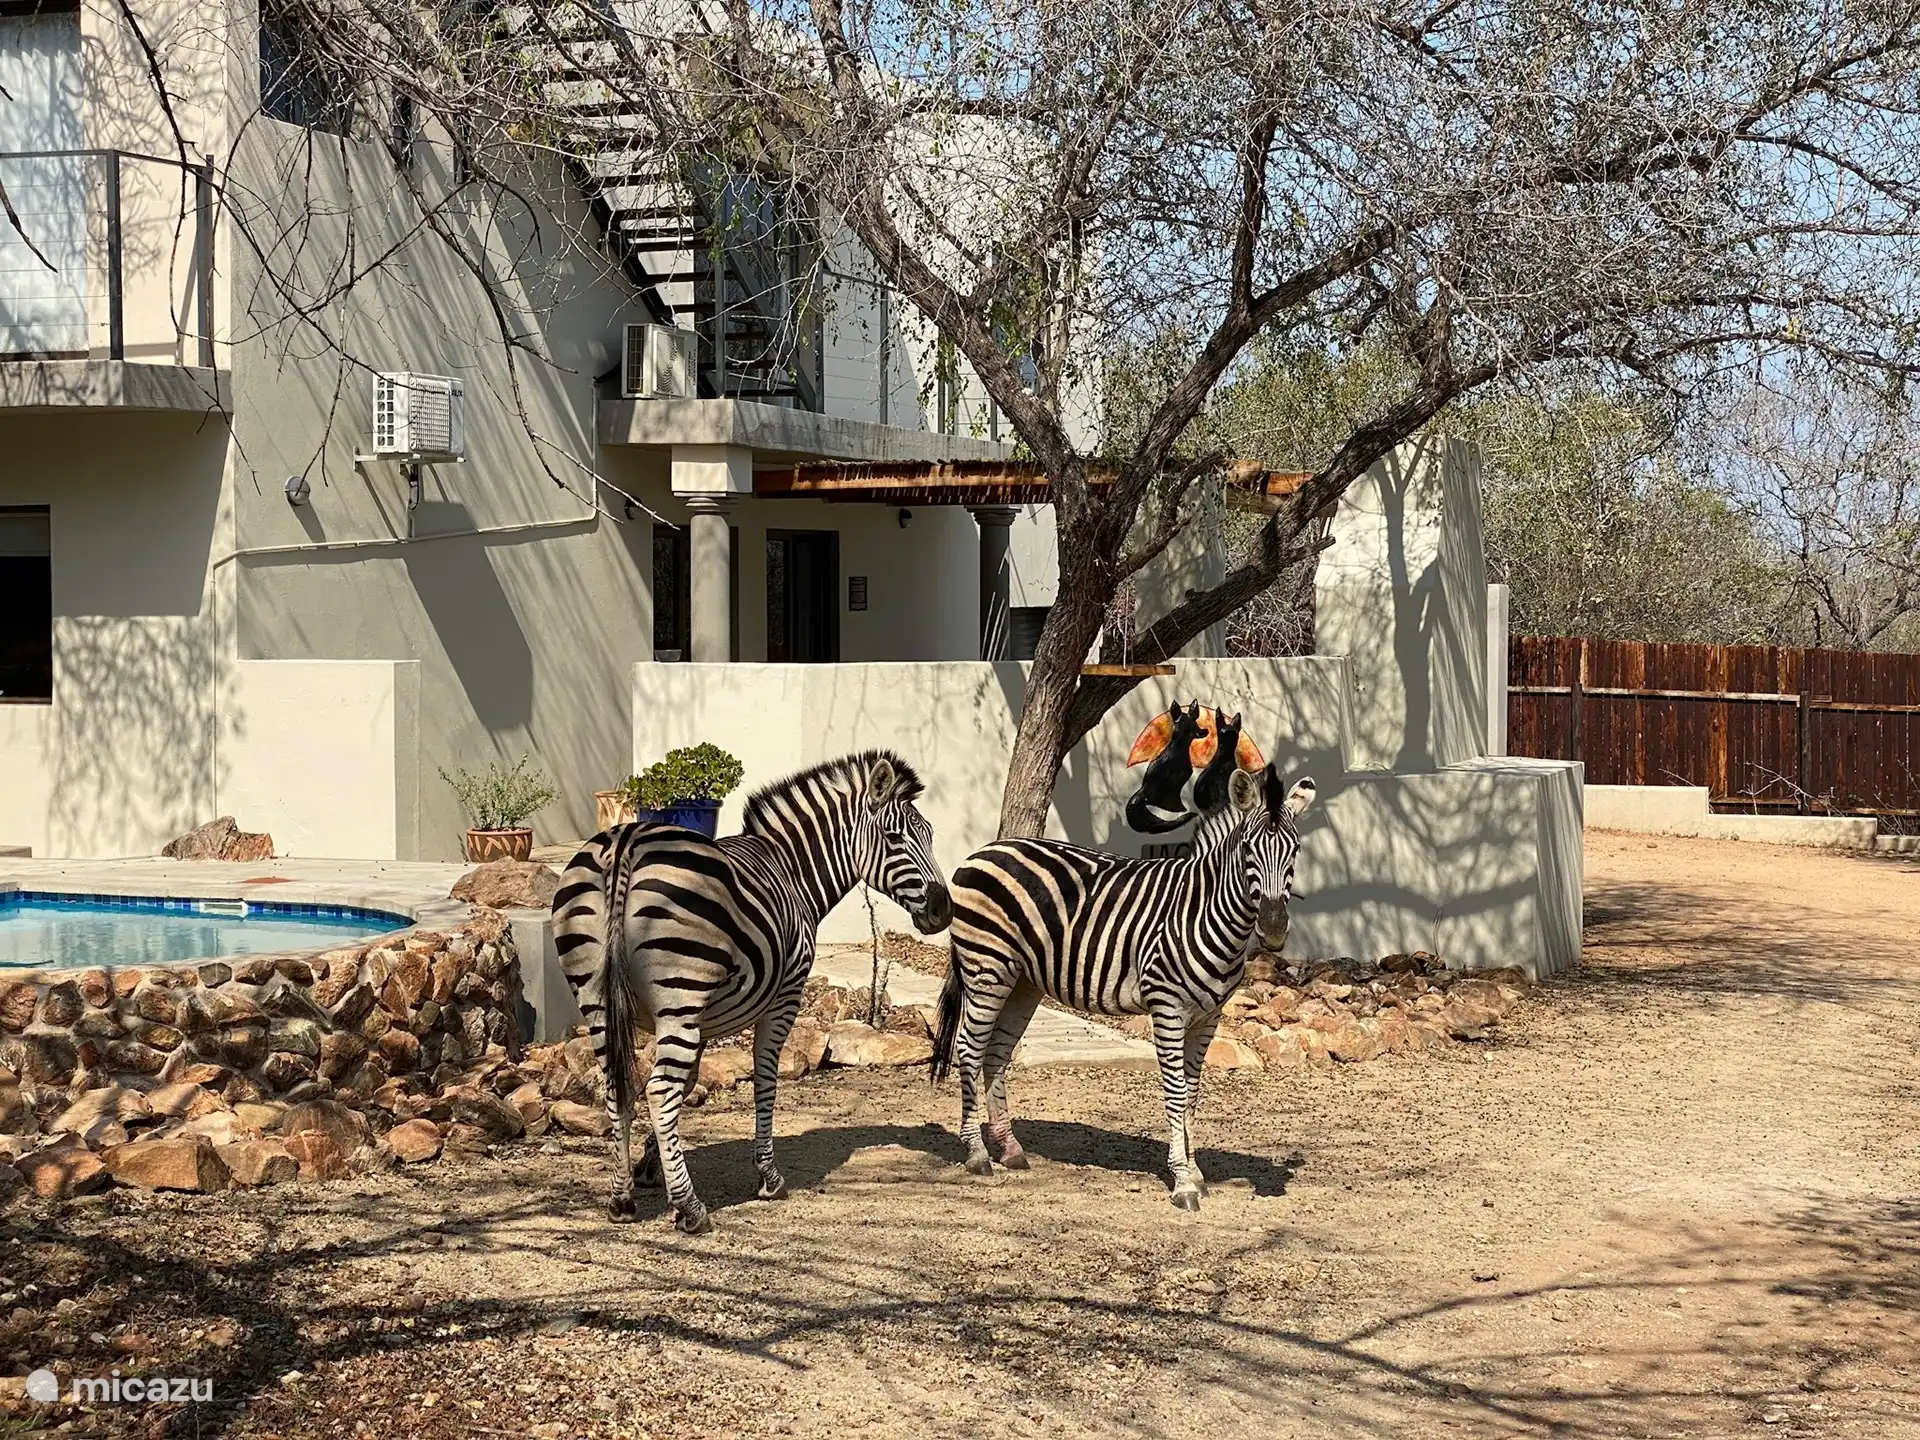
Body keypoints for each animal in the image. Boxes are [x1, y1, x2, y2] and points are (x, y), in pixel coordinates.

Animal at [552, 751, 950, 1234]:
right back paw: (691, 1209)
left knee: (619, 1086)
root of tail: (626, 838)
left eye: (930, 836)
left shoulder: (699, 1022)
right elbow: (763, 1079)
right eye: (894, 838)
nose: (944, 909)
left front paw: (649, 1164)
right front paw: (768, 1176)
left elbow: (687, 1084)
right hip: (681, 993)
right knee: (659, 1090)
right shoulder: (784, 997)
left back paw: (620, 1198)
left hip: (600, 1000)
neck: (793, 872)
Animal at [931, 763, 1314, 1211]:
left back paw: (1010, 1150)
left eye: (1295, 852)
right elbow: (1176, 1092)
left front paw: (1196, 1173)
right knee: (969, 1049)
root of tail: (987, 849)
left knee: (996, 1054)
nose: (1273, 932)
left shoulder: (1209, 1017)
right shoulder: (1167, 1007)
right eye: (1249, 852)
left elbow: (1193, 1093)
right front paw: (1183, 1182)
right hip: (987, 968)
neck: (1205, 911)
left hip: (1023, 981)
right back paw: (976, 1155)